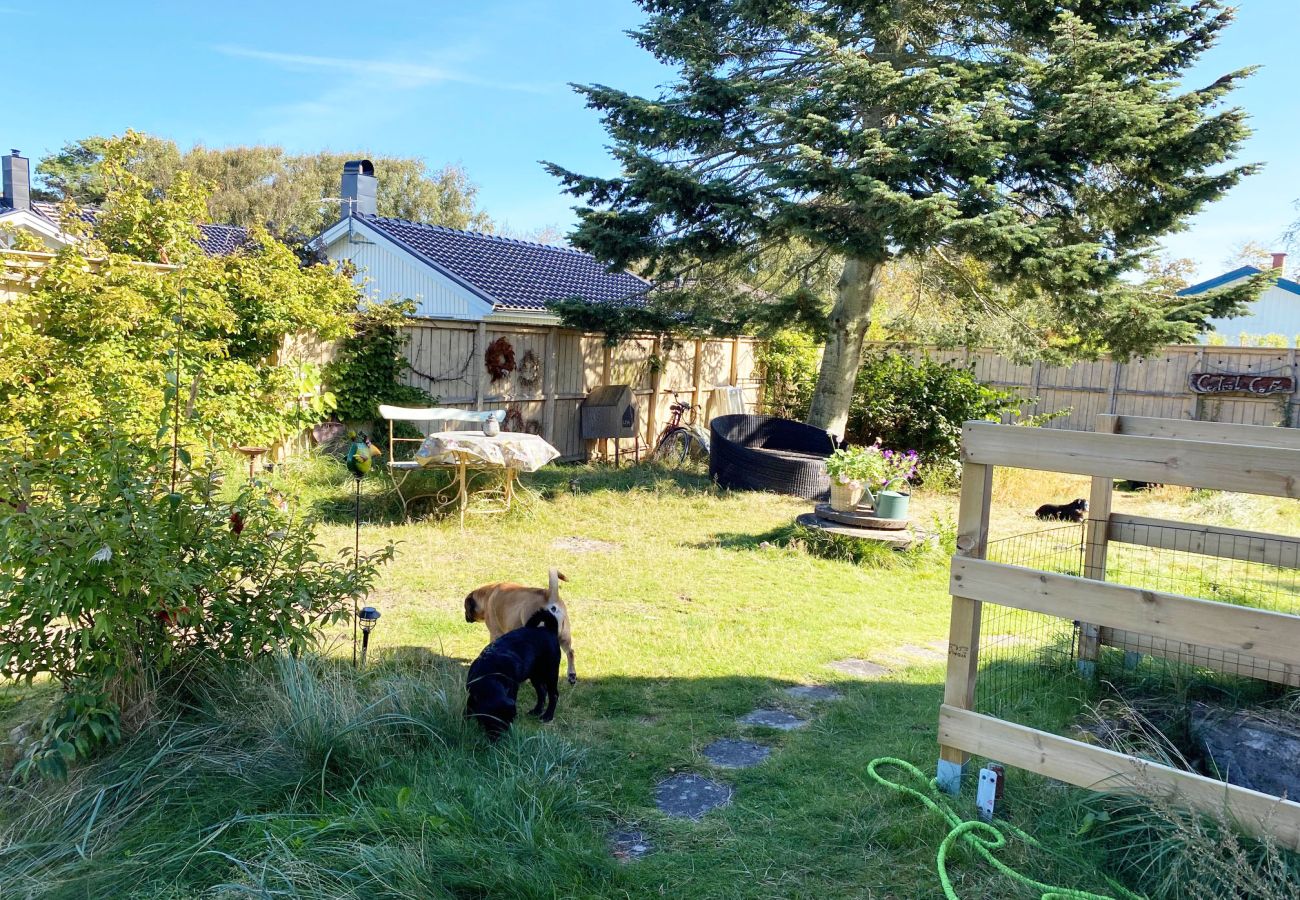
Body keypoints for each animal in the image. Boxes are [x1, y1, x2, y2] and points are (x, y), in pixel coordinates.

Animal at [465, 603, 561, 738]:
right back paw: (536, 711)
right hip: (535, 676)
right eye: (493, 723)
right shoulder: (471, 696)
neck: (490, 677)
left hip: (550, 673)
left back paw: (547, 716)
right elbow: (467, 712)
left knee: (553, 695)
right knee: (542, 692)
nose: (501, 737)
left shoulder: (513, 689)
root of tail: (549, 630)